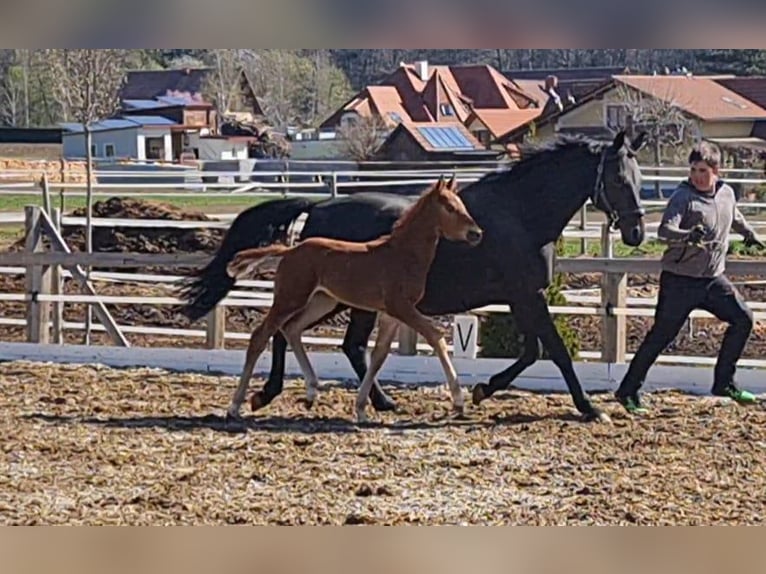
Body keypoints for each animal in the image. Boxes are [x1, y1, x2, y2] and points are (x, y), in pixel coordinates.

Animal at [225, 176, 484, 424]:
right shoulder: (401, 307)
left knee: (292, 329)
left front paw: (361, 409)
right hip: (290, 299)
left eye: (461, 205)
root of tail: (290, 250)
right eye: (449, 208)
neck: (403, 254)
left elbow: (379, 354)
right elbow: (436, 337)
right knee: (260, 336)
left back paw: (311, 391)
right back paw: (235, 406)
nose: (476, 234)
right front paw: (458, 401)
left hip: (322, 301)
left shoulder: (390, 313)